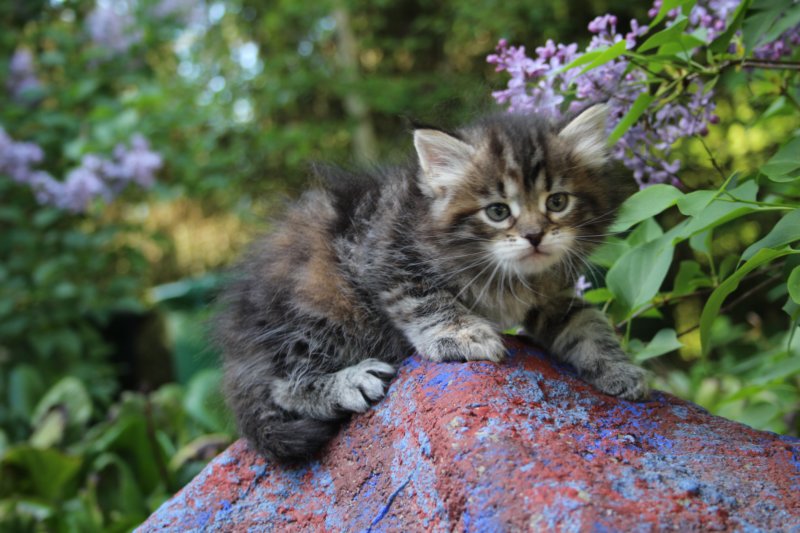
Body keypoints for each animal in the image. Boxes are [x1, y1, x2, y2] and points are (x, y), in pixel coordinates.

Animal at [215, 104, 649, 462]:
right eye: (497, 211)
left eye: (557, 202)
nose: (534, 236)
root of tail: (237, 343)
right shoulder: (383, 256)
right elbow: (427, 300)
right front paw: (463, 334)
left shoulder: (553, 298)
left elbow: (587, 324)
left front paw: (620, 369)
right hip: (320, 305)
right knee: (282, 385)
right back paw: (348, 382)